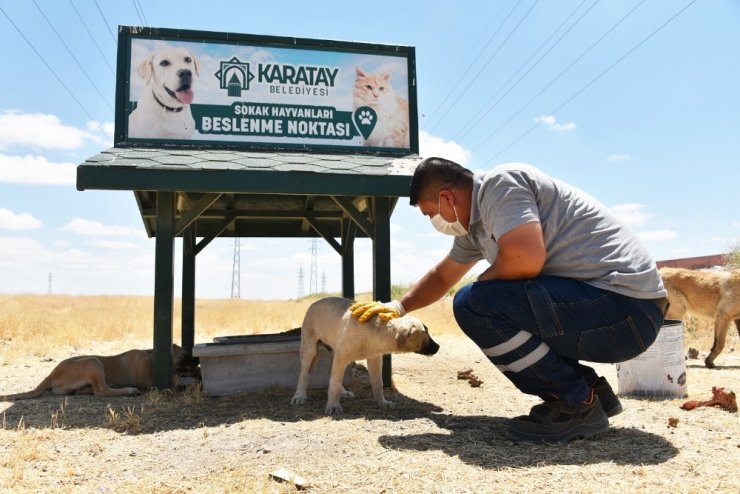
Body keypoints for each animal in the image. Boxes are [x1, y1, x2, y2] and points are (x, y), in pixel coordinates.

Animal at [1, 344, 201, 402]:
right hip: (93, 362)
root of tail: (50, 375)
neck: (153, 355)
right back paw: (128, 390)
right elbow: (177, 379)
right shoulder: (149, 381)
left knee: (87, 390)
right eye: (186, 354)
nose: (197, 360)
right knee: (100, 391)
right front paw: (191, 381)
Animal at [290, 296, 440, 414]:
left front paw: (382, 403)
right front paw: (333, 405)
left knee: (330, 372)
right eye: (426, 331)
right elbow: (334, 383)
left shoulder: (374, 358)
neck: (377, 330)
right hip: (309, 349)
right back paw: (299, 396)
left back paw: (344, 392)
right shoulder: (341, 357)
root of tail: (315, 302)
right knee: (304, 373)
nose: (438, 347)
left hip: (334, 351)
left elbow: (378, 382)